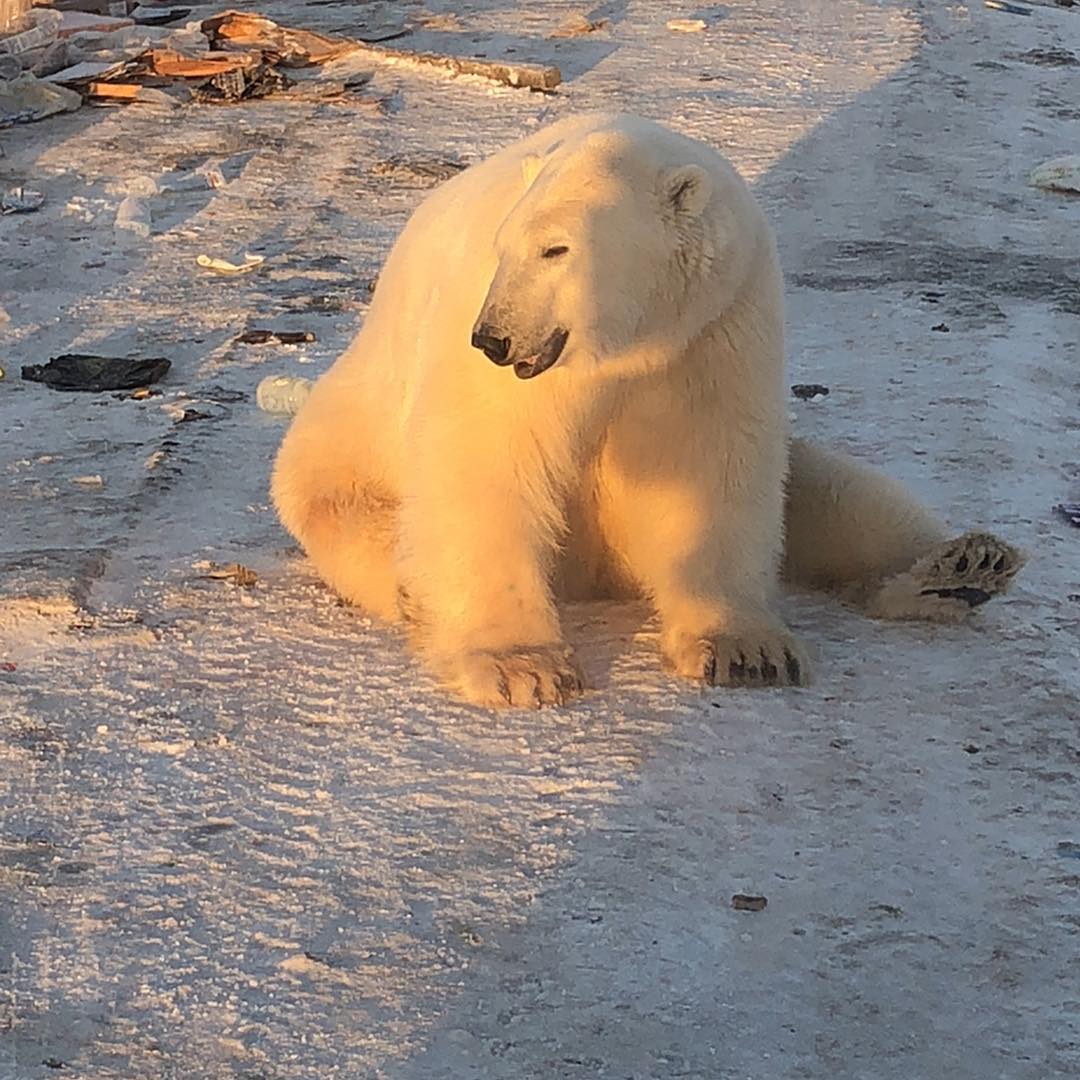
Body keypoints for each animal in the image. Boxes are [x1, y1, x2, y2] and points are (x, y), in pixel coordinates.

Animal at [270, 111, 1019, 708]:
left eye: (556, 248)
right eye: (504, 248)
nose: (492, 337)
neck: (627, 339)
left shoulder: (710, 327)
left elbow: (708, 464)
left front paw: (746, 651)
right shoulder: (515, 349)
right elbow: (487, 462)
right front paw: (521, 668)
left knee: (827, 491)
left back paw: (962, 570)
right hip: (337, 461)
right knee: (367, 523)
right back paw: (412, 598)